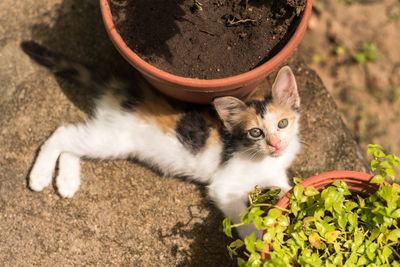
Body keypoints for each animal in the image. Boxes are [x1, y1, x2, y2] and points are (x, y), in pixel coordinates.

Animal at [20, 41, 298, 239]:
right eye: (255, 132)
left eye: (283, 124)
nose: (275, 144)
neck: (263, 158)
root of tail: (129, 89)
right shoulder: (225, 186)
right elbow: (243, 218)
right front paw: (259, 242)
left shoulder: (275, 175)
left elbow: (290, 189)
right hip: (114, 139)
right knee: (63, 133)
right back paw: (40, 176)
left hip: (109, 137)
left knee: (74, 139)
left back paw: (67, 182)